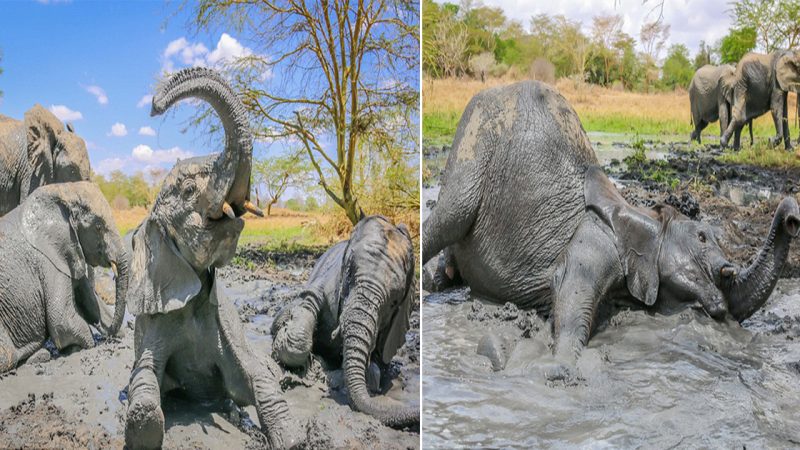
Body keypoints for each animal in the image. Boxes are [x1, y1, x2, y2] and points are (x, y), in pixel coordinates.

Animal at [0, 181, 127, 374]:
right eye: (98, 227)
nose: (109, 335)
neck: (63, 190)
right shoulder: (49, 260)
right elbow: (62, 318)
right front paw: (80, 347)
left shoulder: (69, 249)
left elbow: (91, 302)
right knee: (8, 356)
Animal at [123, 67, 298, 450]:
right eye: (189, 191)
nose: (155, 105)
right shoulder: (155, 316)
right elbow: (143, 374)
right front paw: (144, 424)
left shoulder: (227, 325)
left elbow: (255, 375)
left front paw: (291, 439)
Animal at [422, 81, 796, 380]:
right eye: (702, 237)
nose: (792, 214)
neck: (644, 213)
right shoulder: (594, 240)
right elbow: (571, 294)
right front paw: (559, 369)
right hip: (474, 134)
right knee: (450, 215)